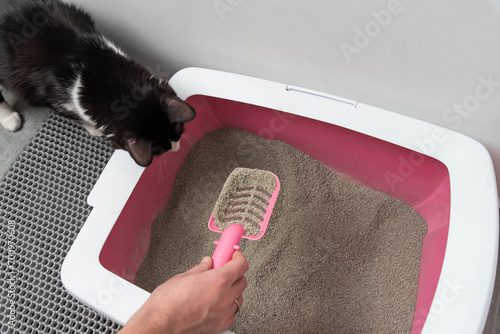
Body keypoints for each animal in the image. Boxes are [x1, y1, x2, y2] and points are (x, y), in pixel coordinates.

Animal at [0, 0, 195, 167]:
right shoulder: (47, 96)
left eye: (178, 130)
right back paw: (10, 119)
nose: (177, 147)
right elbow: (73, 113)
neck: (92, 69)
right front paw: (93, 128)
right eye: (160, 150)